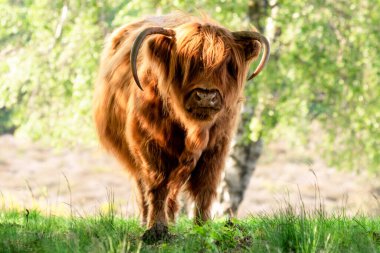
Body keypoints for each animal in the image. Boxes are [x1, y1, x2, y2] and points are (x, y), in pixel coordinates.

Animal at [93, 13, 268, 241]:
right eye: (187, 63)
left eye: (227, 64)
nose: (206, 95)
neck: (192, 128)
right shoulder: (149, 143)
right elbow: (157, 184)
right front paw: (157, 228)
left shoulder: (217, 147)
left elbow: (205, 187)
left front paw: (203, 226)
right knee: (143, 187)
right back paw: (145, 221)